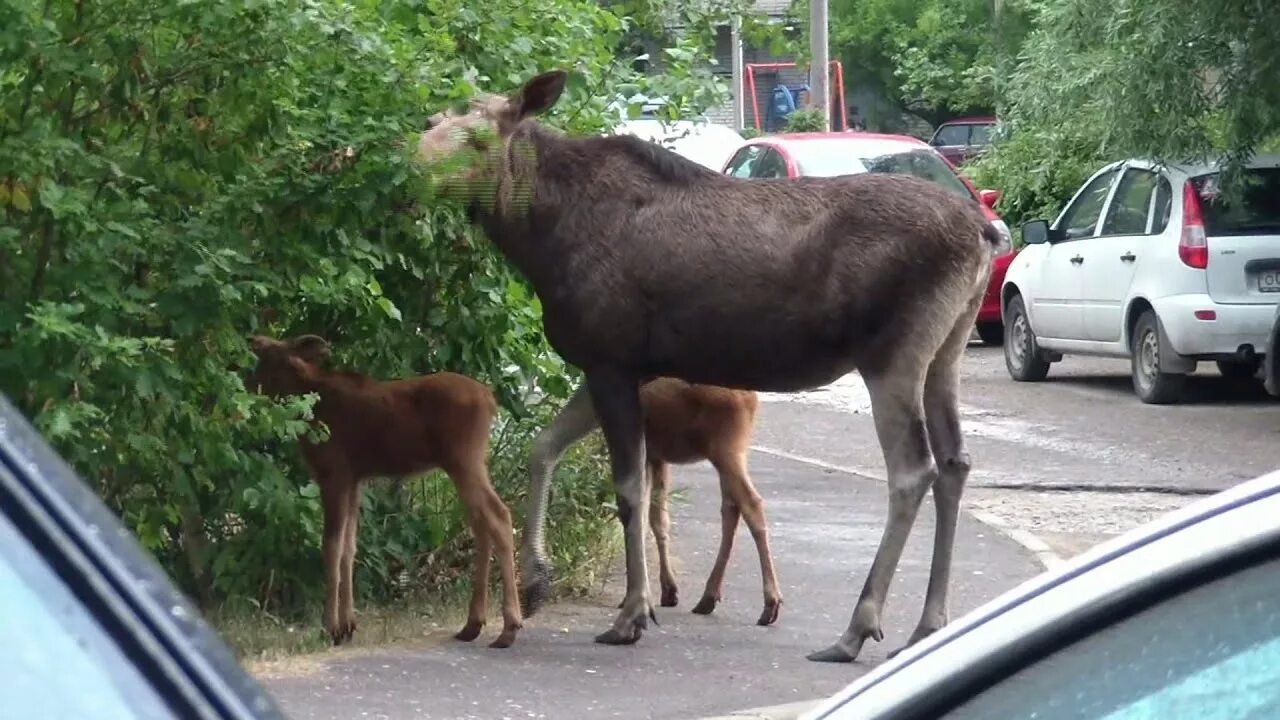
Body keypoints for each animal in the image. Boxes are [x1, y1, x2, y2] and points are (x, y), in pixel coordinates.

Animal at [247, 333, 522, 648]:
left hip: (464, 459)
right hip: (468, 463)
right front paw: (348, 625)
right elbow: (349, 547)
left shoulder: (334, 475)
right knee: (481, 523)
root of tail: (491, 400)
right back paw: (473, 624)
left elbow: (331, 546)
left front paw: (330, 627)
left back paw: (509, 626)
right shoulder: (355, 479)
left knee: (499, 515)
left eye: (267, 355)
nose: (248, 383)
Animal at [517, 379, 778, 625]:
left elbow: (641, 516)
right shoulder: (656, 455)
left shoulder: (648, 452)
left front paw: (638, 595)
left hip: (725, 446)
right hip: (726, 450)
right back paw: (709, 597)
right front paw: (667, 590)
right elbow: (657, 519)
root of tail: (752, 399)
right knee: (731, 508)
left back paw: (770, 602)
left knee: (751, 503)